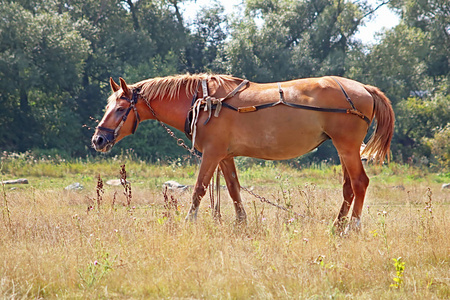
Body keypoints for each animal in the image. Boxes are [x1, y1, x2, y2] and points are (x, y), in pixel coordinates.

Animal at [92, 74, 394, 230]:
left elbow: (200, 188)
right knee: (348, 187)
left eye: (120, 108)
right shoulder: (225, 156)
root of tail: (363, 88)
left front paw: (190, 221)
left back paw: (352, 226)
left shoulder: (212, 154)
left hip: (347, 147)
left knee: (360, 183)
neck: (203, 102)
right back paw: (337, 226)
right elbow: (233, 189)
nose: (98, 139)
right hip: (342, 149)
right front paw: (241, 223)